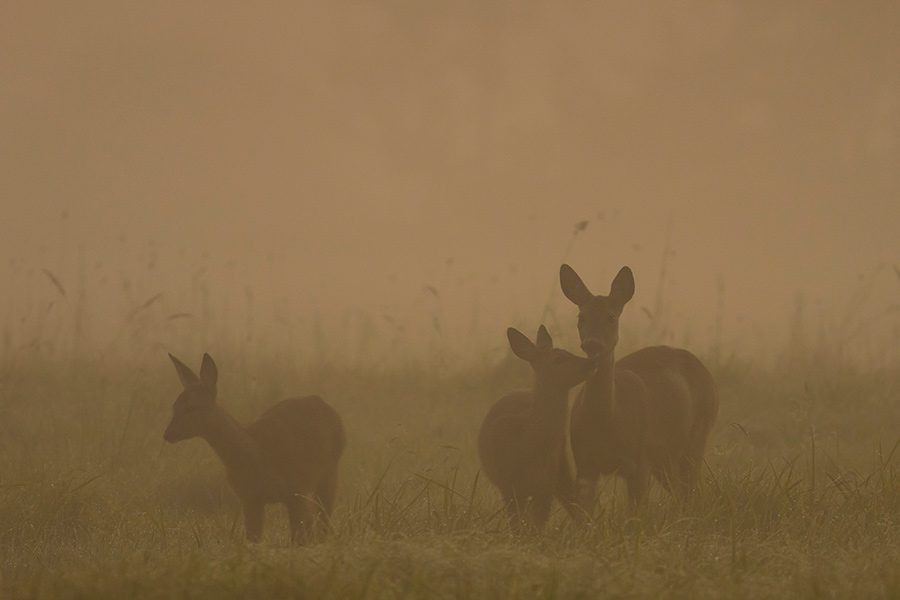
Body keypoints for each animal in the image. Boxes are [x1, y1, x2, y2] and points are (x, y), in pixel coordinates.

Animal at [162, 354, 344, 548]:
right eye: (174, 406)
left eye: (191, 407)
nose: (168, 434)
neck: (256, 454)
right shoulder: (250, 498)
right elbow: (254, 540)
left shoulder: (297, 489)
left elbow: (298, 538)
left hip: (329, 472)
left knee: (323, 521)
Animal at [478, 328, 596, 528]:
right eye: (558, 359)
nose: (591, 362)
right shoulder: (509, 486)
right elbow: (519, 525)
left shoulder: (545, 486)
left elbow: (537, 526)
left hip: (562, 463)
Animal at [560, 264, 720, 512]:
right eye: (581, 317)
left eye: (611, 317)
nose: (592, 343)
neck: (608, 420)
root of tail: (707, 373)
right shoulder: (584, 464)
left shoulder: (639, 462)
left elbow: (636, 513)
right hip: (665, 457)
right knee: (680, 491)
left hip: (698, 437)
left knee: (689, 491)